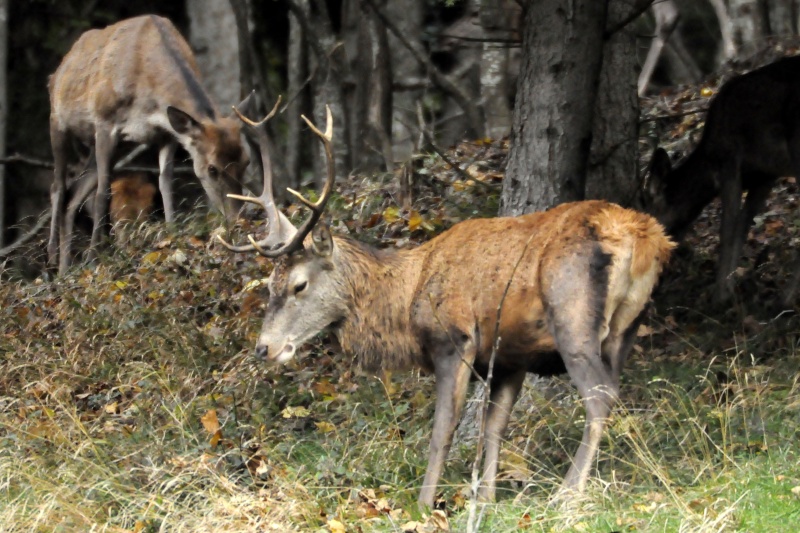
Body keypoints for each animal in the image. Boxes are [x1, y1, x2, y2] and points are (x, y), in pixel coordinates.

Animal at [48, 15, 248, 274]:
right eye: (212, 168)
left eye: (246, 161)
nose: (237, 218)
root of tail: (57, 72)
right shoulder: (105, 123)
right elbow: (103, 192)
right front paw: (93, 257)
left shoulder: (167, 134)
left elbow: (165, 183)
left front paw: (172, 233)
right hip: (58, 121)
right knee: (58, 187)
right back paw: (53, 257)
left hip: (117, 147)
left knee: (73, 196)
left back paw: (64, 270)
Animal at [223, 106, 676, 504]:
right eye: (269, 284)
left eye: (299, 285)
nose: (264, 347)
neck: (407, 298)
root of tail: (647, 237)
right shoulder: (510, 356)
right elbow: (493, 426)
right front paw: (486, 499)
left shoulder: (453, 339)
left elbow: (442, 430)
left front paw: (425, 504)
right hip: (627, 327)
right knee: (613, 387)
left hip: (572, 313)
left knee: (600, 394)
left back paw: (568, 493)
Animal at [640, 55, 800, 304]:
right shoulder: (765, 175)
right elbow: (743, 225)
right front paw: (731, 288)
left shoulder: (729, 162)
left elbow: (727, 229)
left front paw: (719, 297)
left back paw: (785, 299)